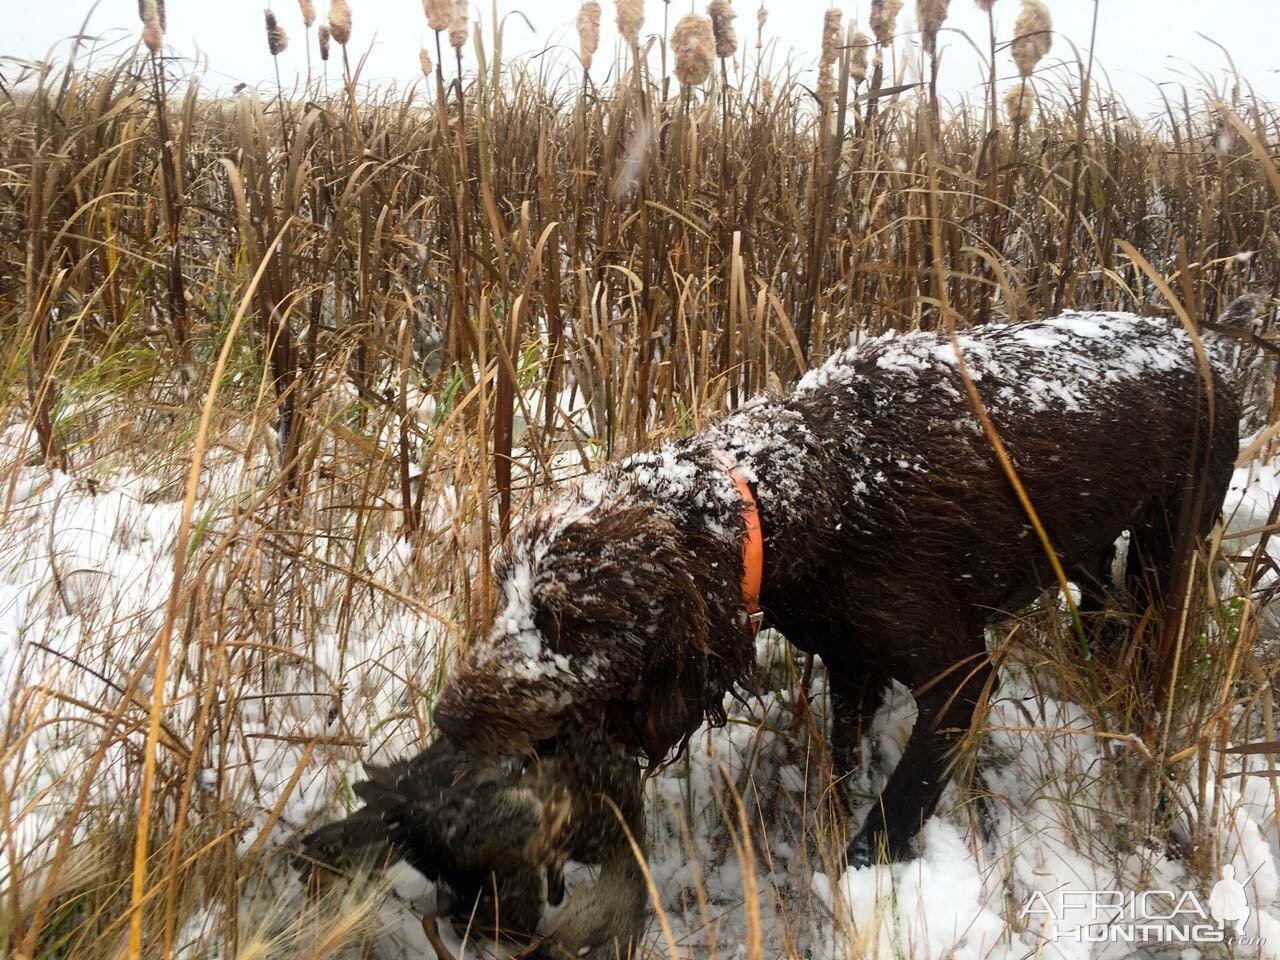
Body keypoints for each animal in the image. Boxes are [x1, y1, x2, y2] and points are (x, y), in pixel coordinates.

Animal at [432, 313, 1239, 865]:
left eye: (565, 623)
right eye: (507, 593)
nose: (446, 719)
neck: (801, 490)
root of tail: (1207, 345)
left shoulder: (958, 679)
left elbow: (902, 799)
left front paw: (864, 868)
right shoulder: (851, 662)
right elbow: (841, 755)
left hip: (1168, 550)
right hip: (1088, 554)